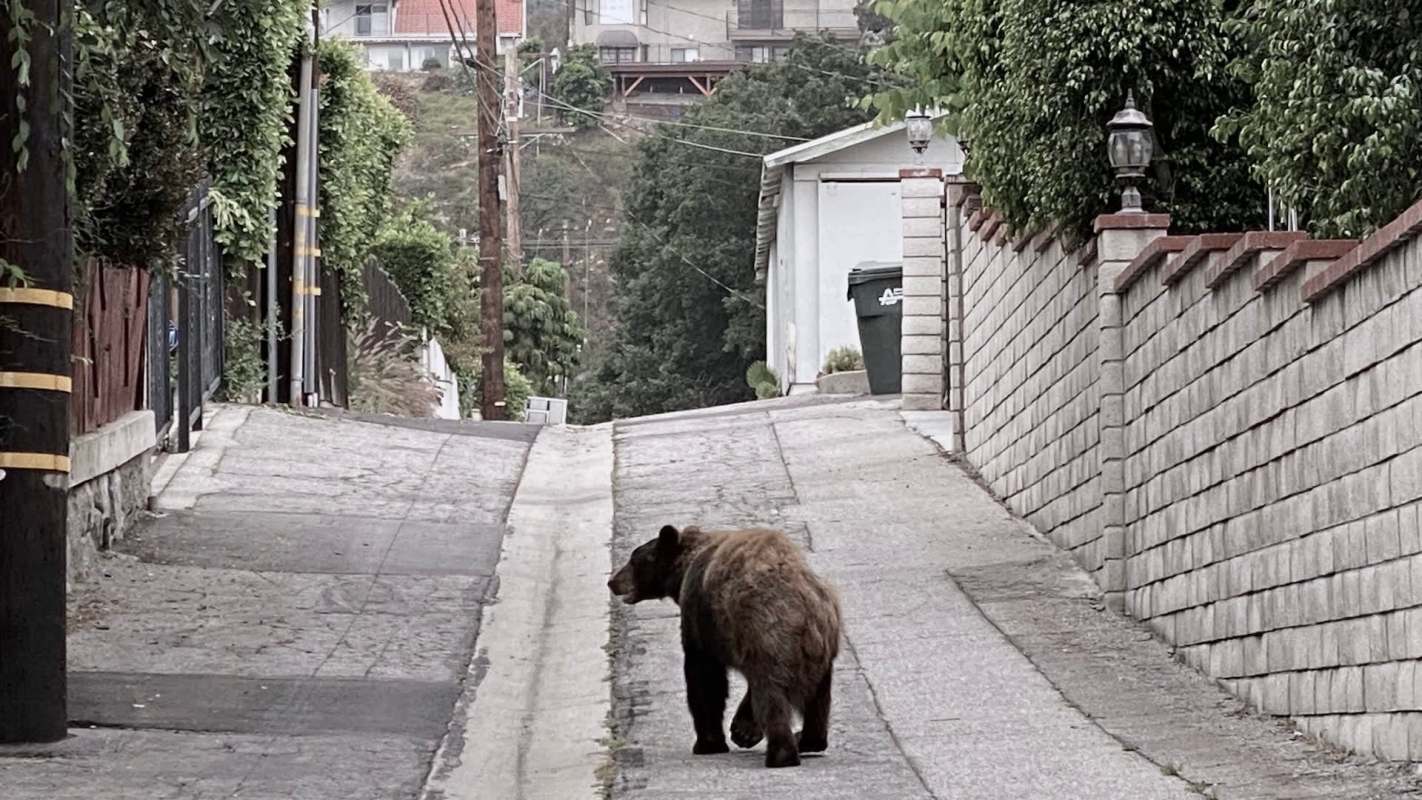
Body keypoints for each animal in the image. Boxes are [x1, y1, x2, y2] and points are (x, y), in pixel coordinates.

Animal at [607, 524, 841, 768]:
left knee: (770, 695)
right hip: (821, 650)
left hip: (768, 637)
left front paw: (709, 742)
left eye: (634, 560)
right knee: (818, 699)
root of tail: (805, 613)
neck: (684, 569)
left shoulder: (699, 615)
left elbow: (704, 677)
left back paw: (781, 754)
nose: (612, 582)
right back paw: (808, 740)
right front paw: (742, 730)